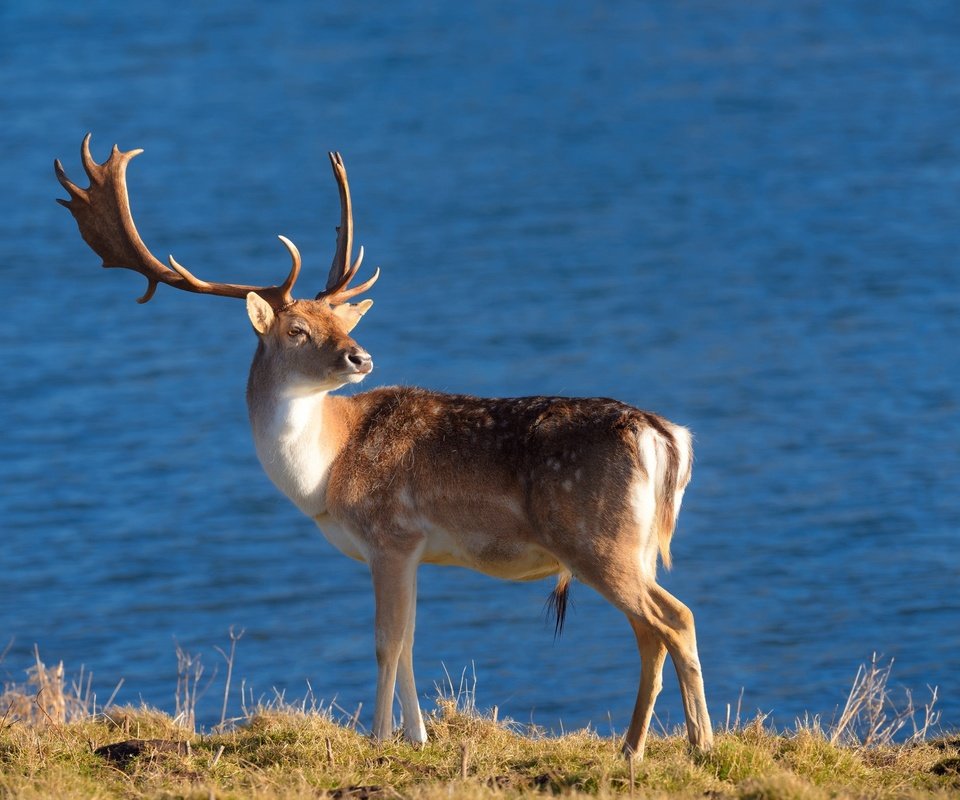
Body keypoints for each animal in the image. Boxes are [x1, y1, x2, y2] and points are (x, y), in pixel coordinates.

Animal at [54, 134, 712, 760]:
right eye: (299, 329)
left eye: (343, 324)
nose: (360, 356)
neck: (325, 474)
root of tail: (666, 435)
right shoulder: (414, 549)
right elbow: (413, 641)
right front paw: (417, 736)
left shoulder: (389, 533)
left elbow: (385, 642)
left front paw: (377, 737)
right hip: (635, 546)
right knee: (654, 629)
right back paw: (647, 745)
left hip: (597, 538)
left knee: (673, 618)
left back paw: (686, 745)